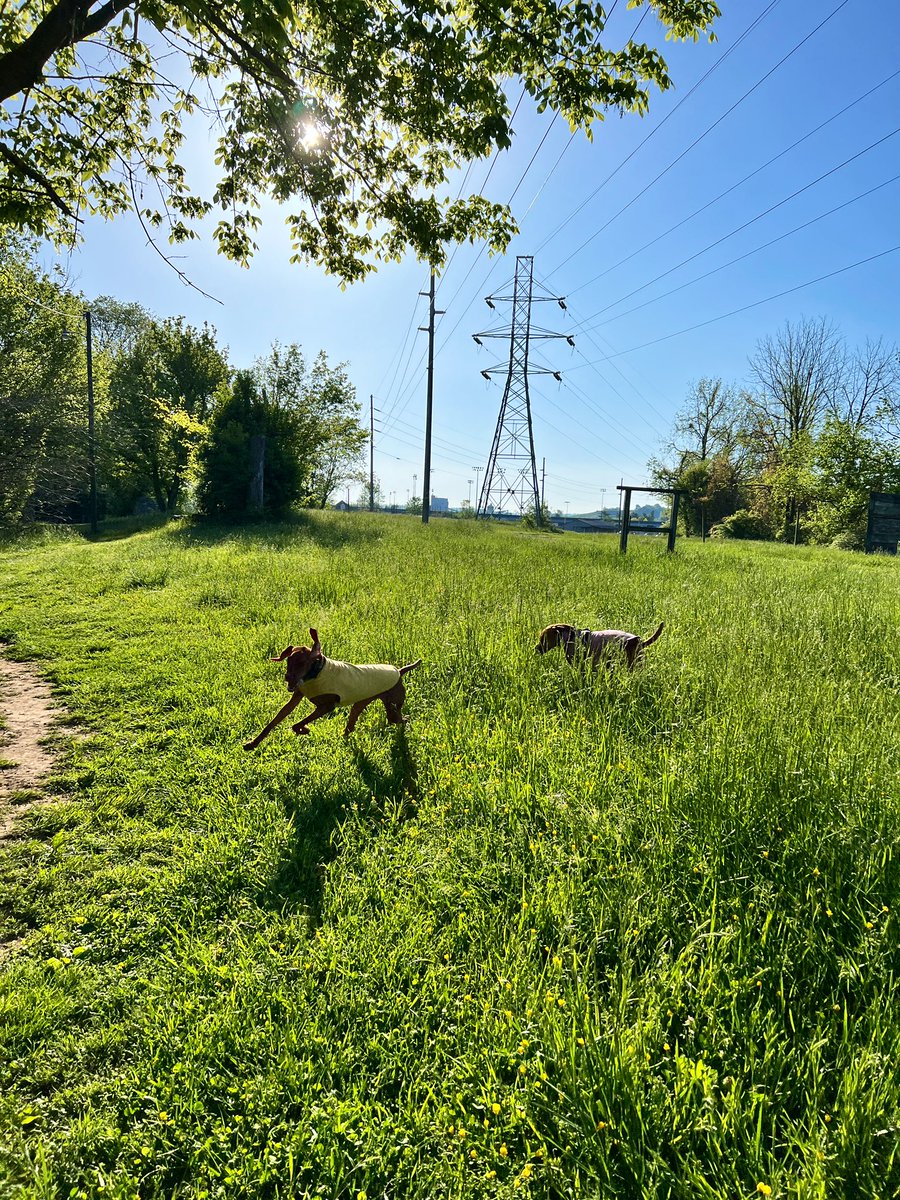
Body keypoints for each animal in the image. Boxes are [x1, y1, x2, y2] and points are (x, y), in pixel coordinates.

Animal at [241, 628, 422, 748]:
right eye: (289, 661)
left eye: (301, 663)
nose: (288, 678)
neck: (315, 673)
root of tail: (399, 671)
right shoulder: (294, 700)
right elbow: (273, 722)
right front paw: (253, 743)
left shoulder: (326, 707)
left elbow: (297, 724)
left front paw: (304, 730)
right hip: (362, 704)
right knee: (353, 726)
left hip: (393, 706)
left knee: (401, 718)